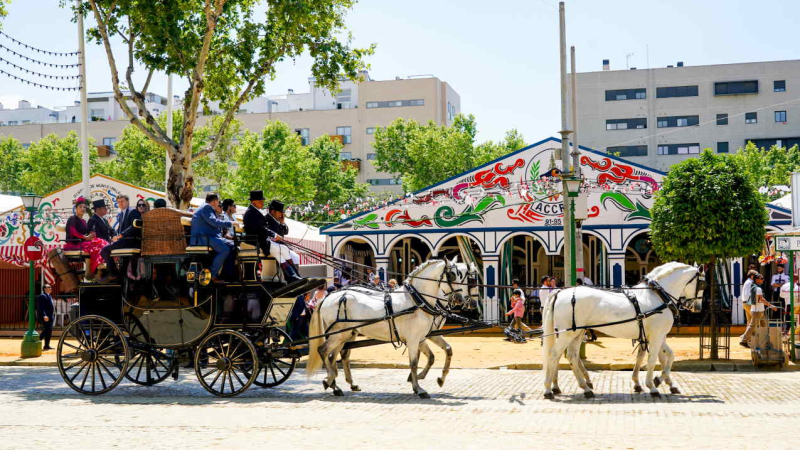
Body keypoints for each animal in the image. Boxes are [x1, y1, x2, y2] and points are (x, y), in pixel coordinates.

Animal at [306, 256, 476, 398]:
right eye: (452, 275)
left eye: (462, 276)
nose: (462, 300)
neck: (417, 300)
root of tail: (329, 297)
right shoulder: (414, 339)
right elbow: (414, 363)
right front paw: (418, 388)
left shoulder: (423, 336)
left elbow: (440, 353)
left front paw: (436, 379)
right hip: (338, 334)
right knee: (323, 351)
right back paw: (330, 379)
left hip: (345, 334)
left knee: (335, 355)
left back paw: (336, 385)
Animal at [544, 262, 700, 400]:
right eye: (702, 283)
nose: (697, 307)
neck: (656, 295)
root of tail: (561, 292)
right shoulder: (657, 335)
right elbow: (653, 359)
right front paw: (653, 385)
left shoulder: (653, 336)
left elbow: (664, 357)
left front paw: (660, 381)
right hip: (567, 333)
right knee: (554, 354)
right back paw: (548, 389)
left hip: (577, 333)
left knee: (572, 356)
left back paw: (583, 388)